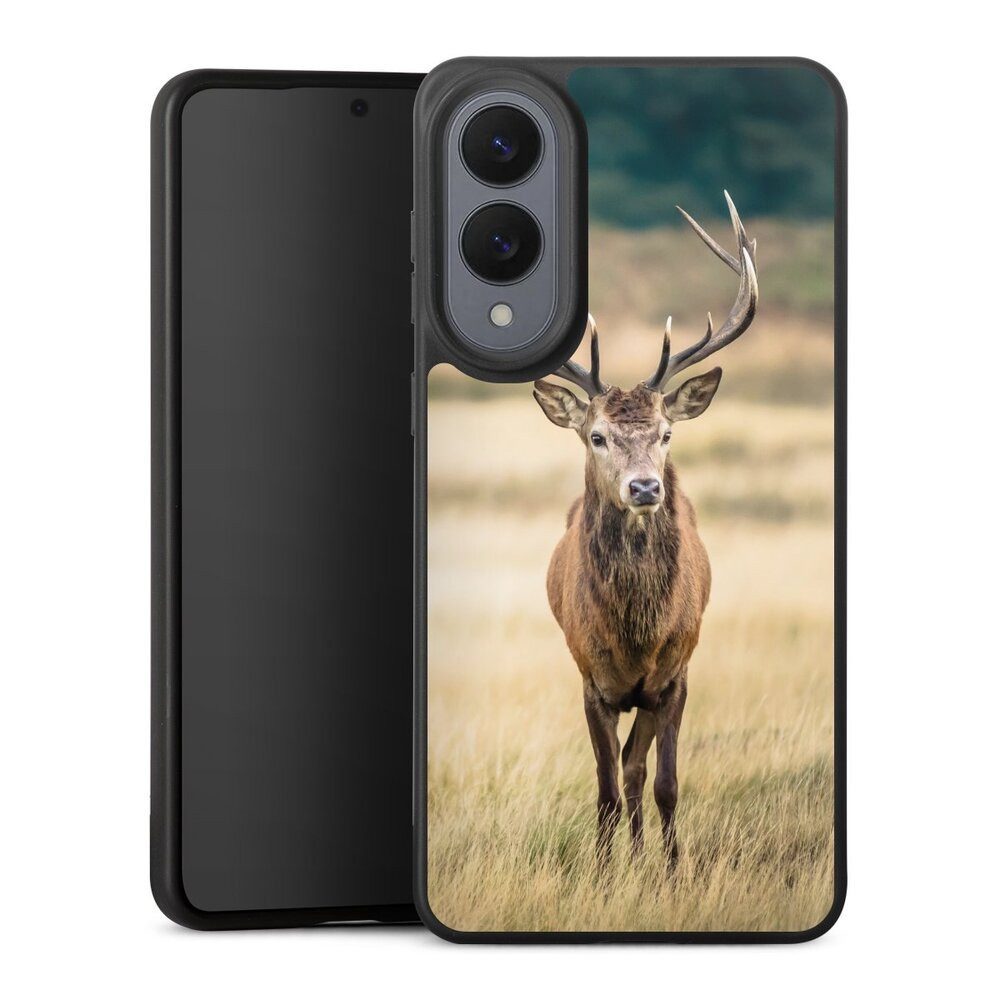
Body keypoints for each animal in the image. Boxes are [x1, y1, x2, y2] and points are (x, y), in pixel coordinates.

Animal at [532, 192, 758, 874]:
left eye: (665, 433)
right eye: (597, 435)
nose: (644, 488)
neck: (635, 633)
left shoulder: (675, 675)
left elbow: (664, 784)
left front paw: (673, 872)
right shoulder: (590, 679)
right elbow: (605, 787)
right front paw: (606, 877)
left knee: (638, 771)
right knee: (621, 775)